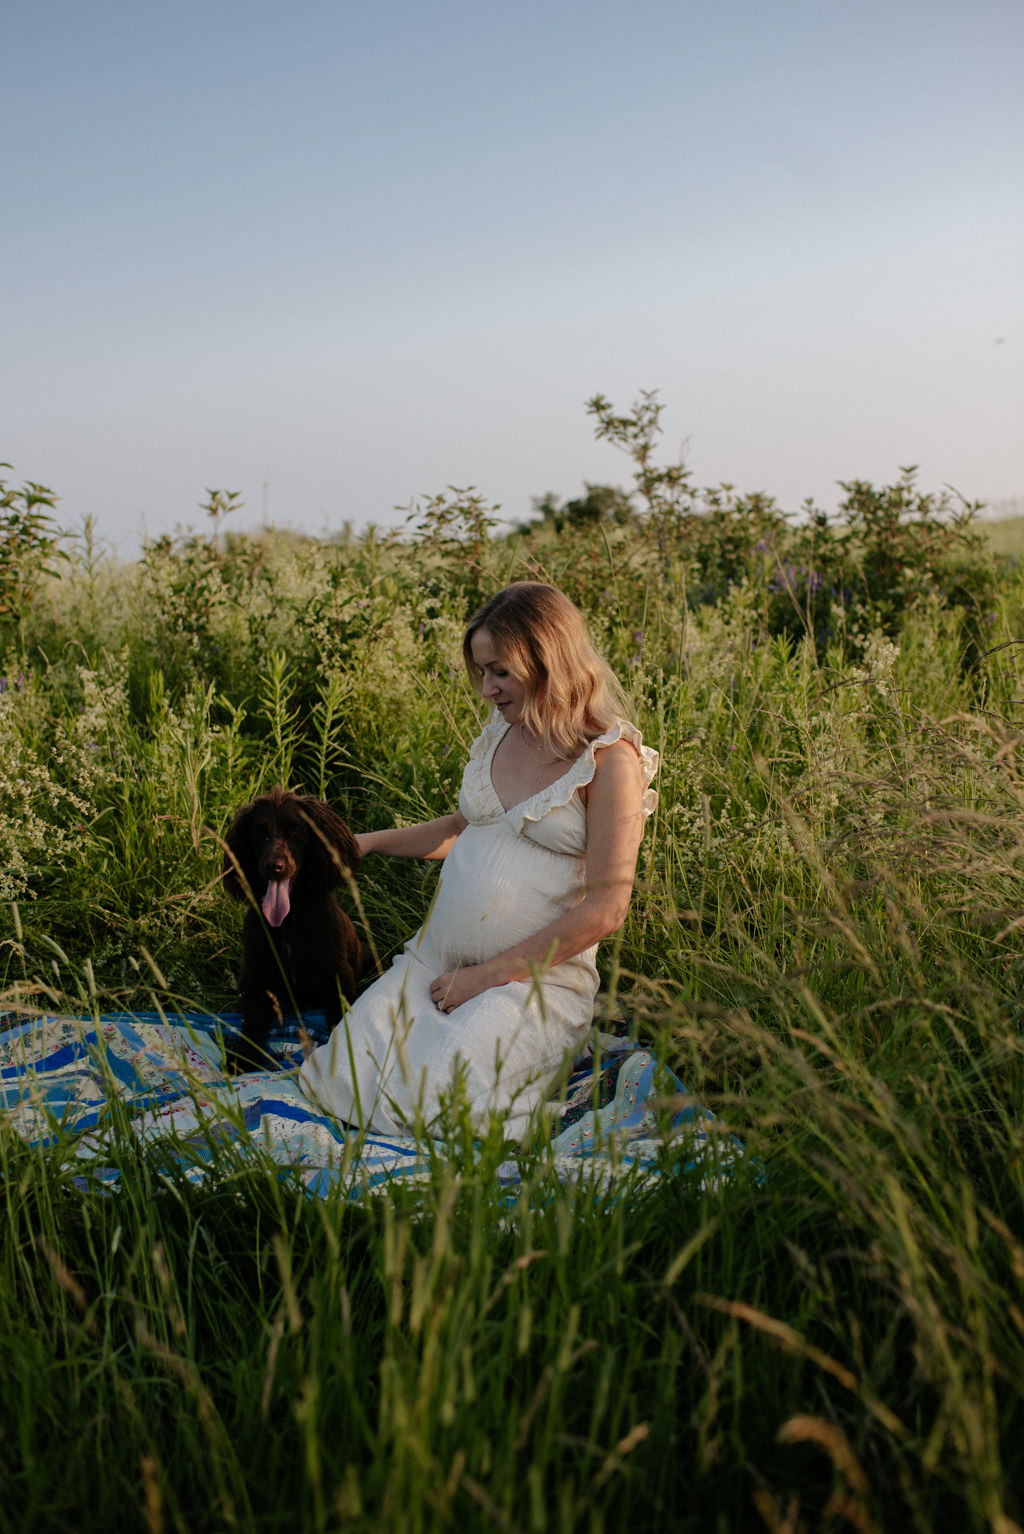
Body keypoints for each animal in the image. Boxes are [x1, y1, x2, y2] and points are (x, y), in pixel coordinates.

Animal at [222, 785, 366, 1073]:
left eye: (295, 831)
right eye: (260, 832)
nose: (274, 867)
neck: (289, 921)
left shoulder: (334, 973)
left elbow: (338, 1016)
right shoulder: (255, 975)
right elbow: (252, 1024)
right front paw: (242, 1058)